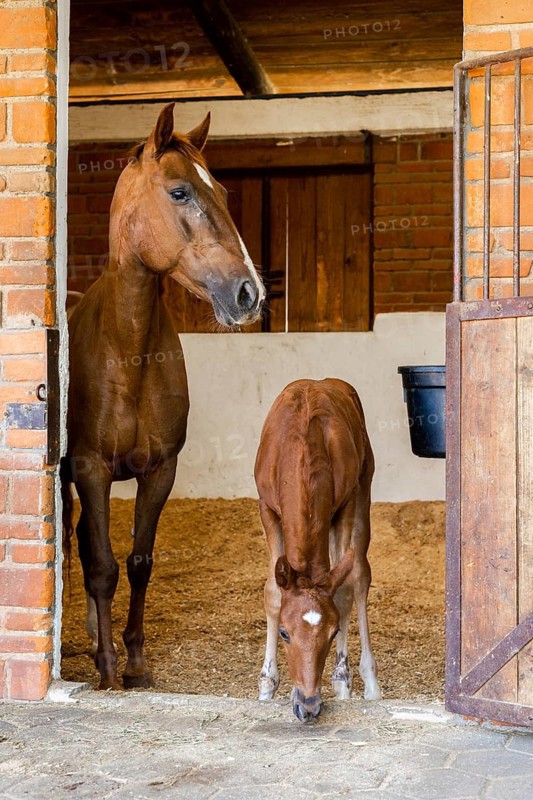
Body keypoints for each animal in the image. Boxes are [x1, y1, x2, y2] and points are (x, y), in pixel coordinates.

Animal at [61, 103, 265, 691]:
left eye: (222, 190)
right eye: (180, 192)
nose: (249, 293)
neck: (128, 352)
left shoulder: (160, 471)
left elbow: (138, 562)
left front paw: (134, 662)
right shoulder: (90, 469)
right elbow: (103, 566)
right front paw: (109, 671)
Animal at [254, 378, 381, 721]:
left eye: (333, 632)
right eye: (284, 633)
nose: (308, 705)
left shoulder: (346, 504)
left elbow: (345, 588)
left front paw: (343, 682)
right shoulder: (266, 507)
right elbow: (272, 591)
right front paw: (266, 686)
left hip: (364, 488)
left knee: (361, 573)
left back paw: (369, 682)